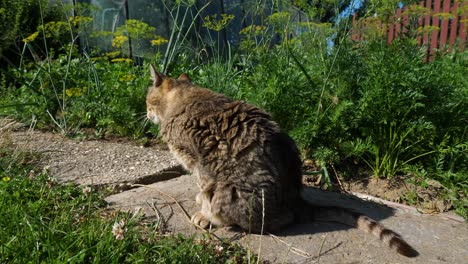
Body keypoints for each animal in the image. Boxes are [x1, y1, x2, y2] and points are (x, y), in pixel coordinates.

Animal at [144, 64, 418, 258]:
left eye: (147, 99)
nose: (145, 112)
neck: (185, 98)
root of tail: (296, 198)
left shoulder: (198, 163)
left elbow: (202, 188)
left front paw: (204, 213)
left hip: (233, 190)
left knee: (279, 221)